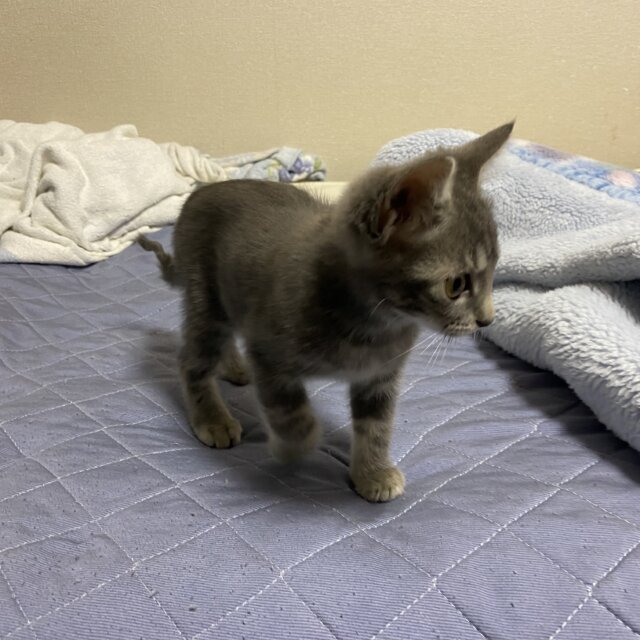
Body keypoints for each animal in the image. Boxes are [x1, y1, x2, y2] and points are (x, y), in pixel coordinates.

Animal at [138, 122, 512, 502]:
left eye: (494, 272)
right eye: (456, 285)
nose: (487, 319)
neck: (374, 326)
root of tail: (199, 192)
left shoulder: (381, 376)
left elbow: (377, 426)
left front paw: (373, 472)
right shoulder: (267, 351)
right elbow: (290, 413)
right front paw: (291, 446)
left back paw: (233, 367)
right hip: (206, 296)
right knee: (192, 360)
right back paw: (212, 419)